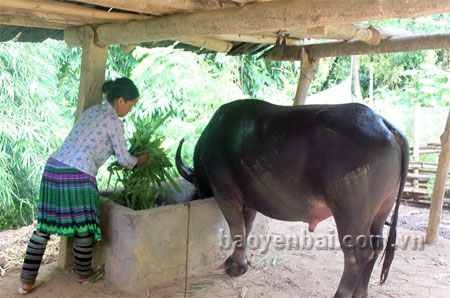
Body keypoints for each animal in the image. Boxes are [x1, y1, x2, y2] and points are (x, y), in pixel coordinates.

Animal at [175, 99, 408, 296]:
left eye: (199, 186)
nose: (196, 195)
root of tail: (384, 124)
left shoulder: (226, 195)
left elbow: (237, 229)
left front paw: (237, 266)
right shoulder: (249, 202)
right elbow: (247, 228)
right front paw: (241, 260)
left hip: (350, 213)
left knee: (357, 254)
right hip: (381, 210)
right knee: (376, 247)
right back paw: (361, 293)